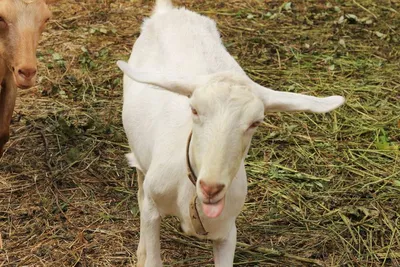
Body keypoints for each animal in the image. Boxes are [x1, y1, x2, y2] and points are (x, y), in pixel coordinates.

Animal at [117, 1, 346, 266]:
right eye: (194, 109)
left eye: (256, 122)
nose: (211, 188)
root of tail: (170, 11)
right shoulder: (154, 208)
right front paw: (144, 254)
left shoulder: (227, 231)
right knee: (140, 189)